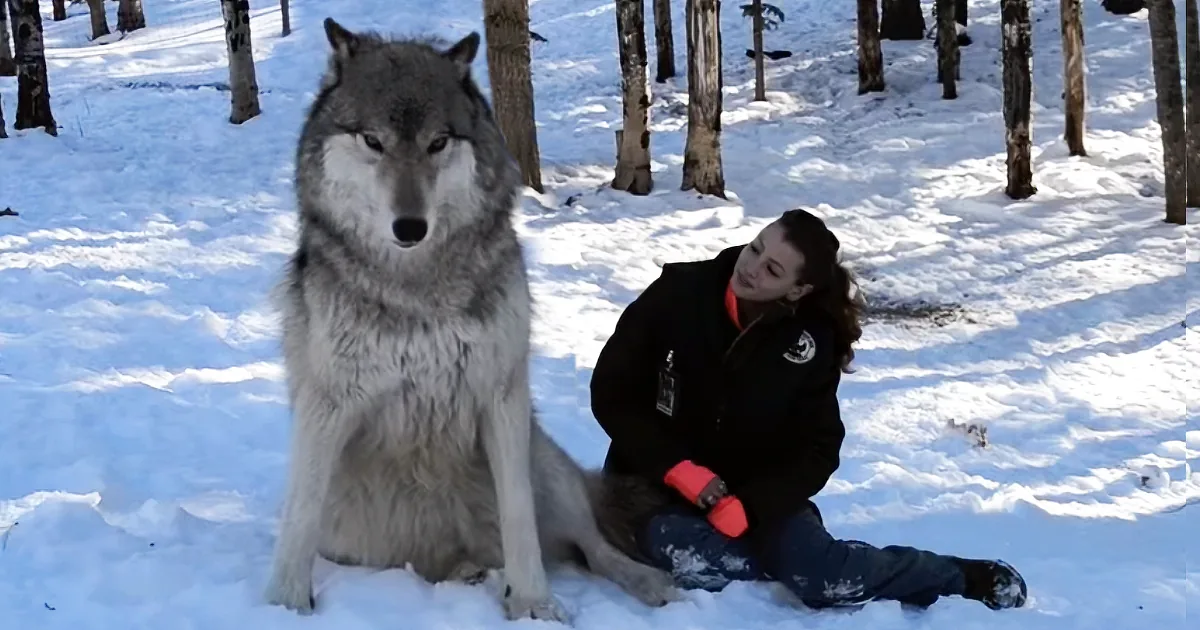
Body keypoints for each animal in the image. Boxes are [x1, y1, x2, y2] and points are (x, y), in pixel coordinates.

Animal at [261, 18, 680, 624]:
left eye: (438, 143)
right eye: (373, 142)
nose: (410, 227)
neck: (417, 288)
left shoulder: (500, 395)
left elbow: (520, 519)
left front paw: (534, 606)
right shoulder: (329, 403)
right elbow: (297, 521)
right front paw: (284, 604)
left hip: (544, 461)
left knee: (594, 548)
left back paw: (648, 583)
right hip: (352, 533)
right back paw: (468, 572)